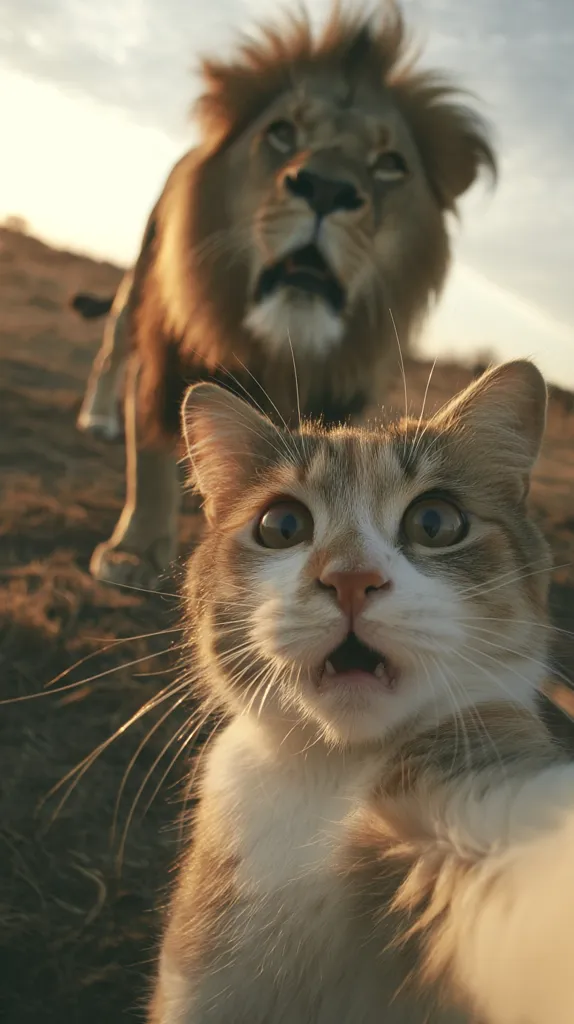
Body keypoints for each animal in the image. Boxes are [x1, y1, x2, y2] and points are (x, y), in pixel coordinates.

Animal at [72, 2, 496, 590]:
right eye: (281, 132)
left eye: (389, 163)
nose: (326, 188)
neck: (281, 343)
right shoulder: (170, 353)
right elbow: (152, 454)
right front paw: (134, 552)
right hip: (138, 284)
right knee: (112, 352)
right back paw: (99, 418)